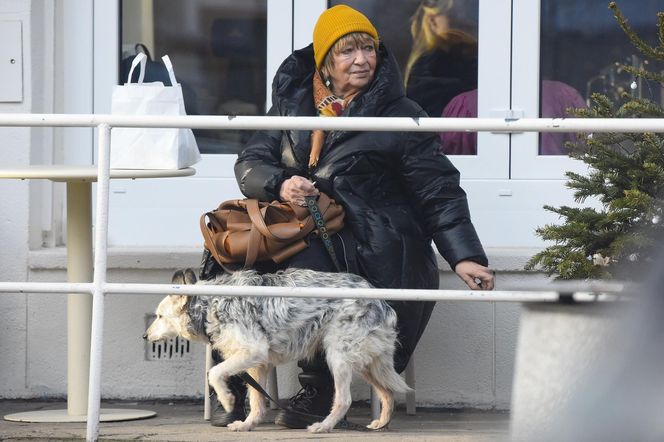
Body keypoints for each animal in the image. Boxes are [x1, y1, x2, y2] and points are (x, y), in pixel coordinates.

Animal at [145, 268, 410, 434]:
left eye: (159, 316)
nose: (144, 336)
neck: (210, 302)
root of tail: (382, 303)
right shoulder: (257, 364)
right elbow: (257, 401)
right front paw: (247, 424)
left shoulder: (253, 351)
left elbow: (216, 373)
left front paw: (228, 400)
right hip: (367, 363)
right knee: (388, 394)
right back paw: (380, 424)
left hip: (338, 357)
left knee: (344, 400)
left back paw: (324, 427)